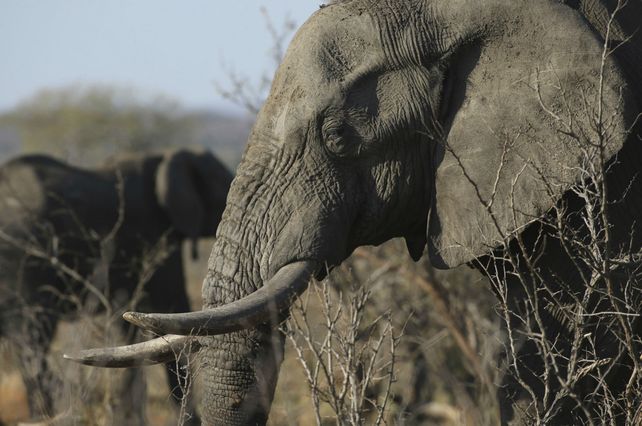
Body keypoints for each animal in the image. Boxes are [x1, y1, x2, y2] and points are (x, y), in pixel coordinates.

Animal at [0, 148, 232, 422]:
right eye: (223, 185)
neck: (163, 158)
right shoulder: (155, 234)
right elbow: (171, 306)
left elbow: (129, 325)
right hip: (22, 255)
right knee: (31, 342)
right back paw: (45, 418)